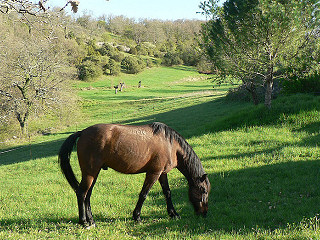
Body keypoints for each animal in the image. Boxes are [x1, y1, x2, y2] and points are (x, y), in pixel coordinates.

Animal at [58, 122, 211, 227]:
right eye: (203, 190)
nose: (204, 213)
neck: (171, 144)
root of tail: (83, 132)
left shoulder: (162, 173)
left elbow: (167, 192)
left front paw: (173, 214)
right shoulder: (153, 173)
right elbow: (144, 194)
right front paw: (137, 216)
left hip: (94, 173)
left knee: (87, 195)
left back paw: (91, 220)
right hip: (90, 173)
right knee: (81, 193)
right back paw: (83, 221)